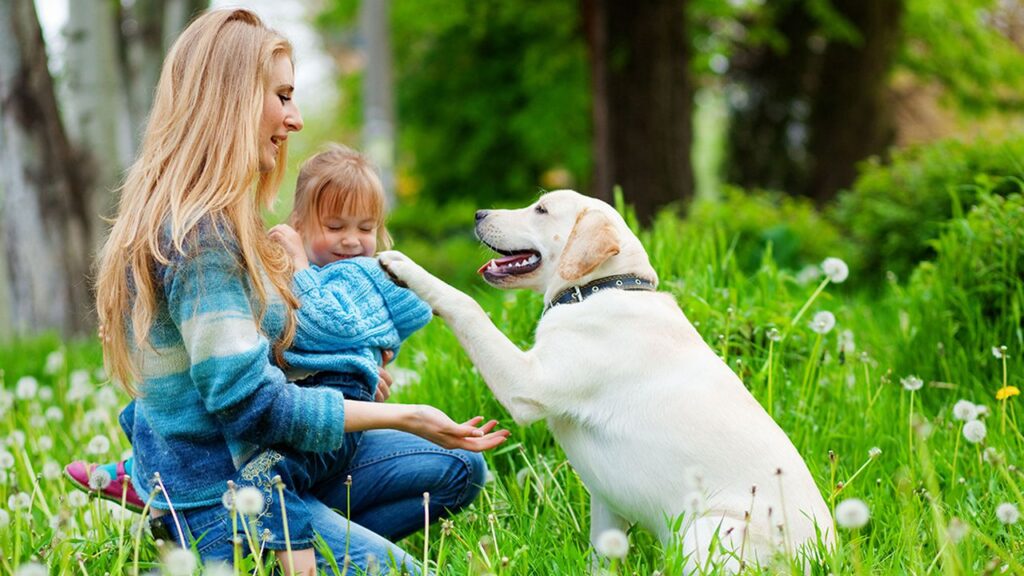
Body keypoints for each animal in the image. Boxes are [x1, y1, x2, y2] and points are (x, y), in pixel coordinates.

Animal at [380, 190, 835, 565]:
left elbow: (466, 304)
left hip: (708, 528)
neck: (601, 288)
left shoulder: (526, 384)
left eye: (541, 209)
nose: (478, 213)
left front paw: (405, 268)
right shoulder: (605, 503)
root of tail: (824, 557)